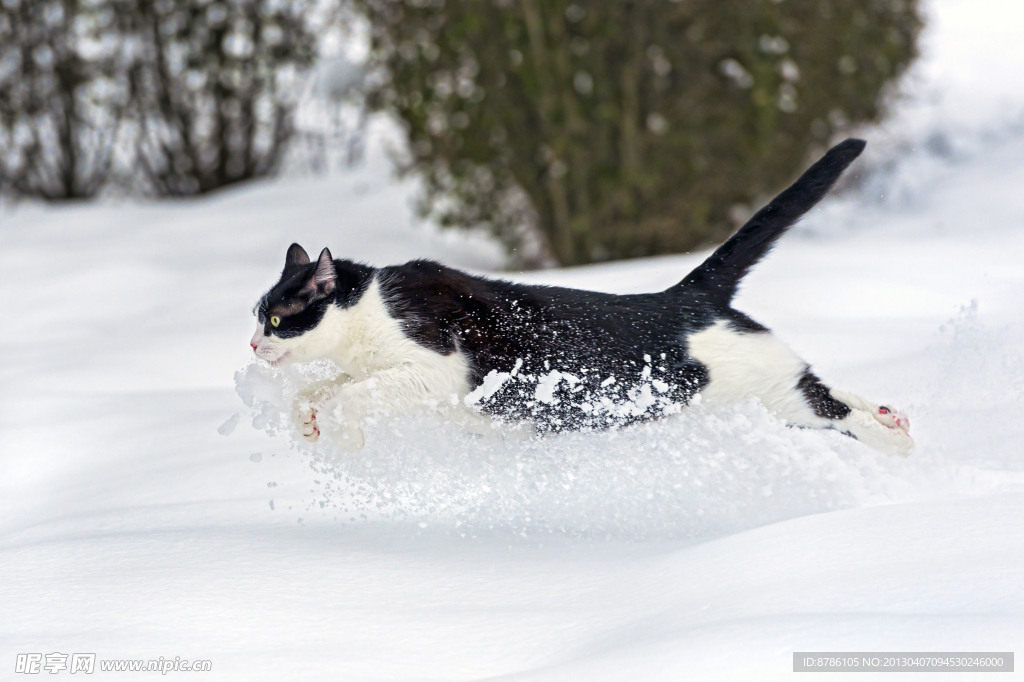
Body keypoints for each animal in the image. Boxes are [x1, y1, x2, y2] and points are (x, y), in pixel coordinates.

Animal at [251, 138, 917, 454]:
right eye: (256, 318)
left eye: (279, 320)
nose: (255, 344)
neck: (367, 310)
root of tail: (684, 294)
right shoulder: (370, 370)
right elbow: (321, 389)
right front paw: (308, 423)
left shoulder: (429, 369)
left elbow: (350, 397)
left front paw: (342, 437)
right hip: (770, 389)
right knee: (831, 387)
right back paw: (894, 416)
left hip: (768, 390)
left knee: (832, 406)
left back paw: (897, 442)